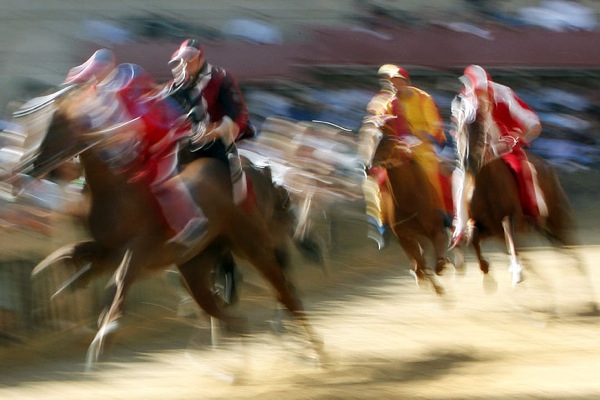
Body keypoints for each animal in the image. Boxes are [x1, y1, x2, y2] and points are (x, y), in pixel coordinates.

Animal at [12, 69, 324, 368]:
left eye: (54, 127)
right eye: (33, 125)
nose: (26, 167)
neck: (119, 188)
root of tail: (258, 173)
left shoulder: (141, 248)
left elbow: (118, 281)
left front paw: (104, 335)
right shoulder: (109, 248)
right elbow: (73, 253)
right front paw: (55, 277)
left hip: (253, 245)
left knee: (285, 294)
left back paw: (315, 353)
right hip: (197, 266)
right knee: (229, 315)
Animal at [452, 97, 596, 312]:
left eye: (481, 127)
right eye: (460, 128)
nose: (469, 161)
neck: (485, 185)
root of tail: (549, 167)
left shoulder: (511, 218)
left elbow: (510, 236)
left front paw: (517, 275)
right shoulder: (484, 226)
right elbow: (474, 239)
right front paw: (488, 278)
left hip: (558, 218)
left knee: (573, 250)